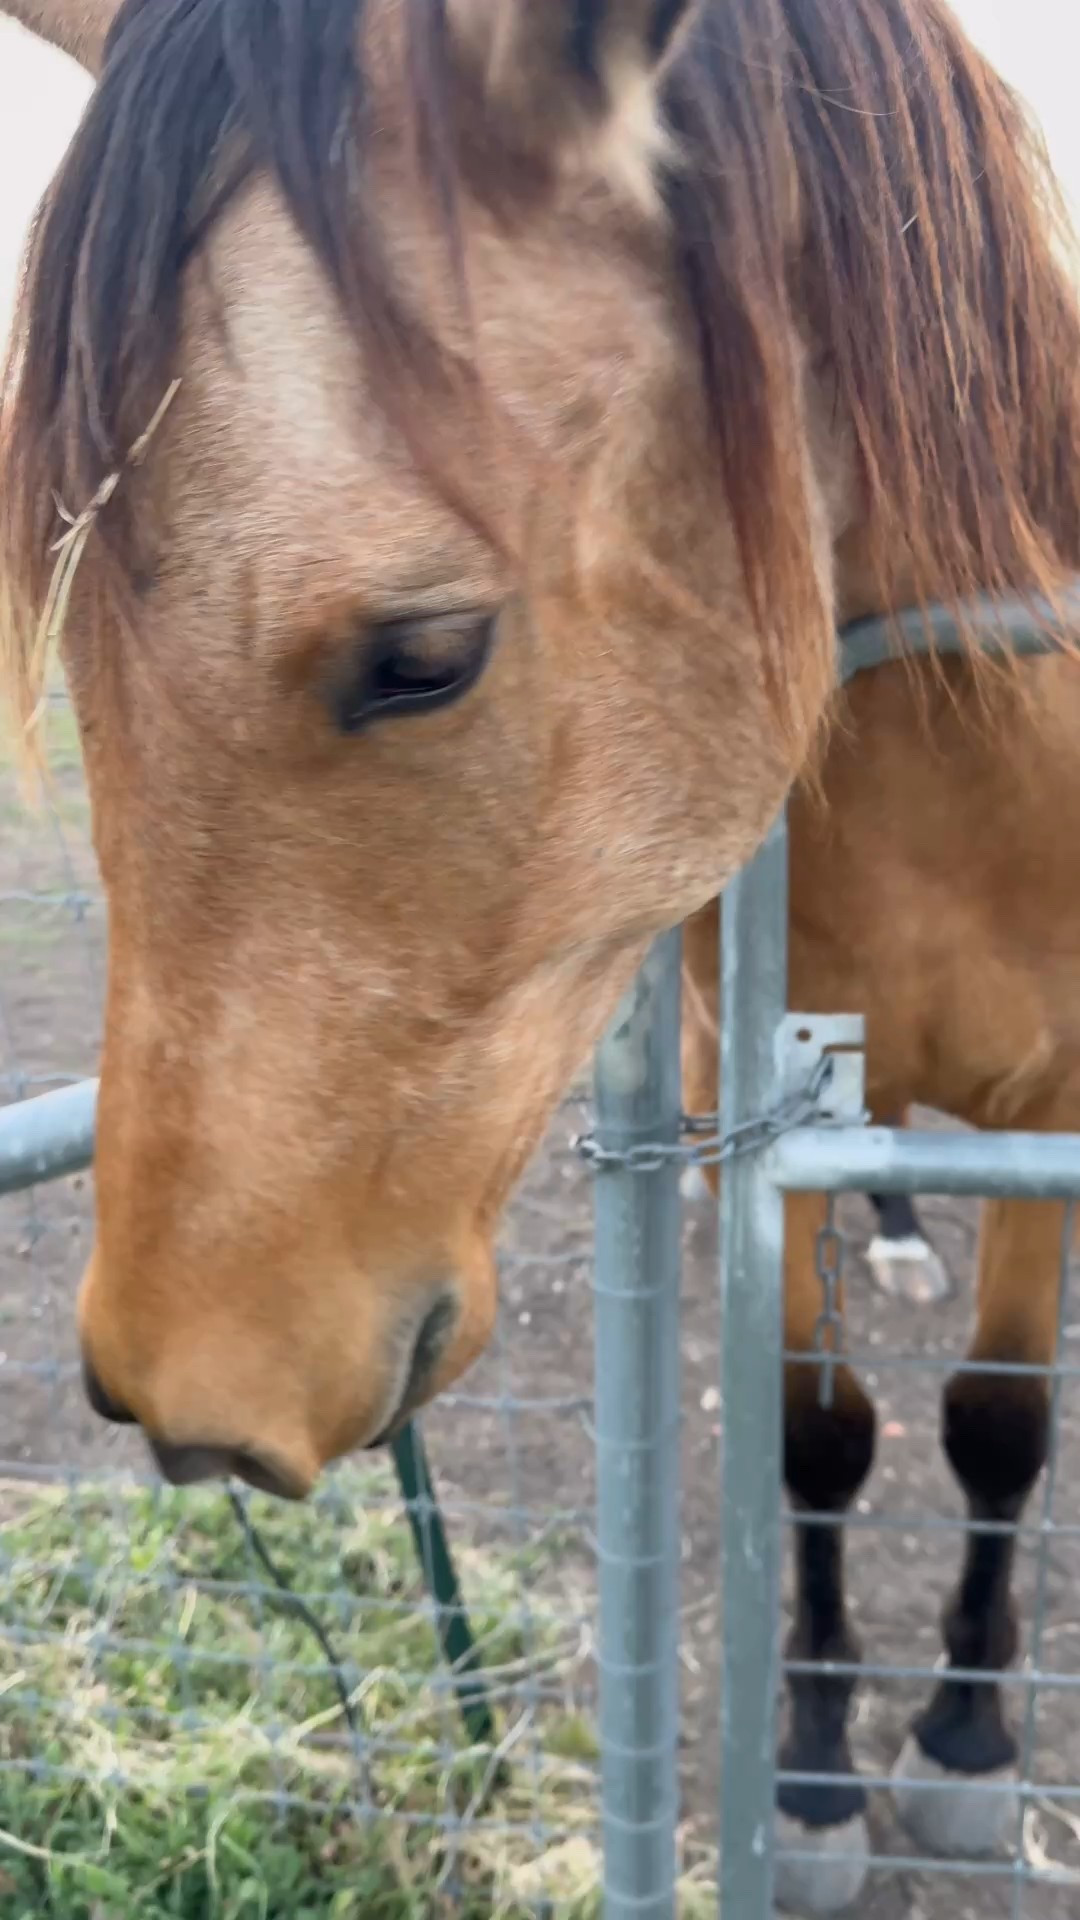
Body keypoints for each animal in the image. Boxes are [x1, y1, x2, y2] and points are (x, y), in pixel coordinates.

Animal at [2, 1, 1079, 1908]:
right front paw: (812, 1771)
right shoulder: (755, 1078)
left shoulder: (1062, 1098)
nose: (178, 1388)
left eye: (425, 655)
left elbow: (999, 1423)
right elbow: (817, 1430)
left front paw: (962, 1737)